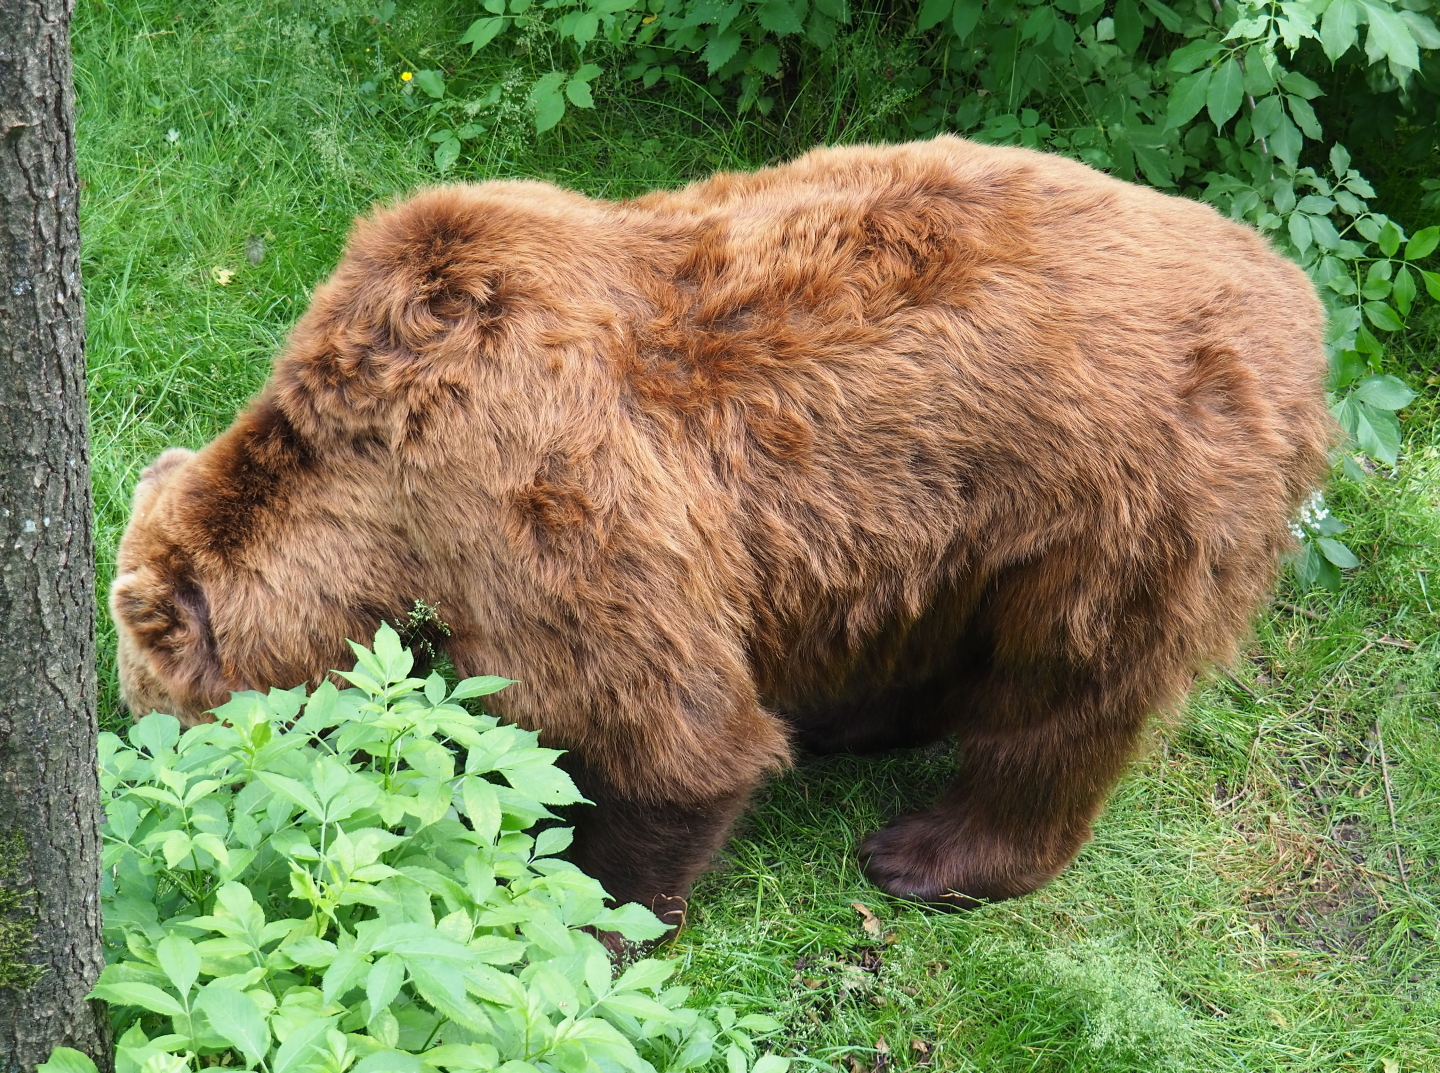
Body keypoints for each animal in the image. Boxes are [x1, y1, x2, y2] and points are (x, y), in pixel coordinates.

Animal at [111, 136, 1333, 932]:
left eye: (162, 716)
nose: (150, 761)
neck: (379, 502)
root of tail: (1296, 298)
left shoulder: (537, 502)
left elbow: (674, 738)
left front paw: (586, 914)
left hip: (1114, 496)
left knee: (1069, 693)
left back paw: (928, 853)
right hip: (949, 522)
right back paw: (854, 722)